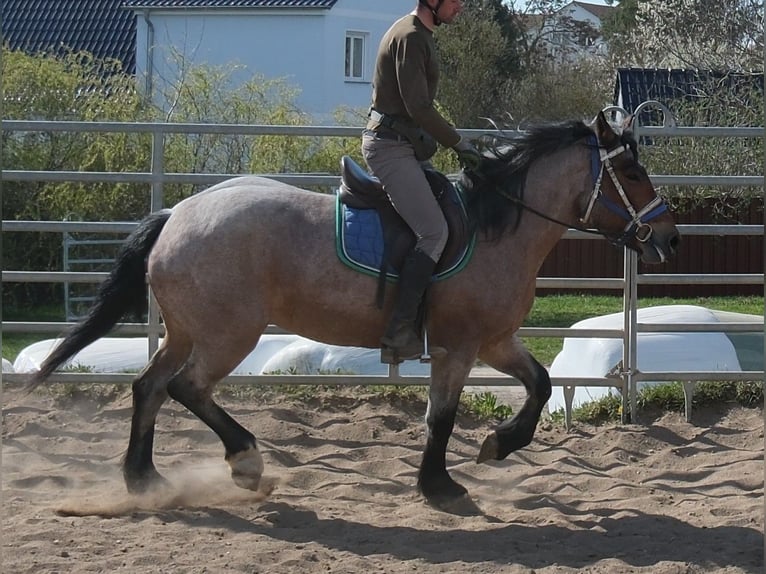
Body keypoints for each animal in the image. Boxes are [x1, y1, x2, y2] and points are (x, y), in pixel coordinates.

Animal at [29, 111, 679, 513]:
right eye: (631, 171)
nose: (668, 237)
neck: (499, 227)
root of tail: (176, 217)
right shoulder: (459, 348)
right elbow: (441, 418)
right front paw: (440, 485)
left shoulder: (495, 342)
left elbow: (541, 384)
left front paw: (497, 446)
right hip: (227, 335)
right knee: (186, 388)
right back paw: (245, 460)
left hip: (188, 332)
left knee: (148, 388)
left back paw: (145, 480)